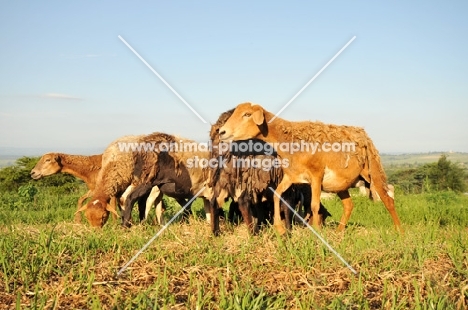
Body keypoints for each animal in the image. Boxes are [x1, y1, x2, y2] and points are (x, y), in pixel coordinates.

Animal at [219, 102, 402, 235]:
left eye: (247, 114)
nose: (222, 132)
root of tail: (363, 134)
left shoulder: (316, 176)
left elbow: (314, 205)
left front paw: (317, 232)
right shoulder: (291, 177)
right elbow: (277, 195)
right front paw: (279, 228)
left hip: (372, 171)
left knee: (388, 199)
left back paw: (399, 231)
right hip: (340, 184)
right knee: (349, 205)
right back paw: (338, 232)